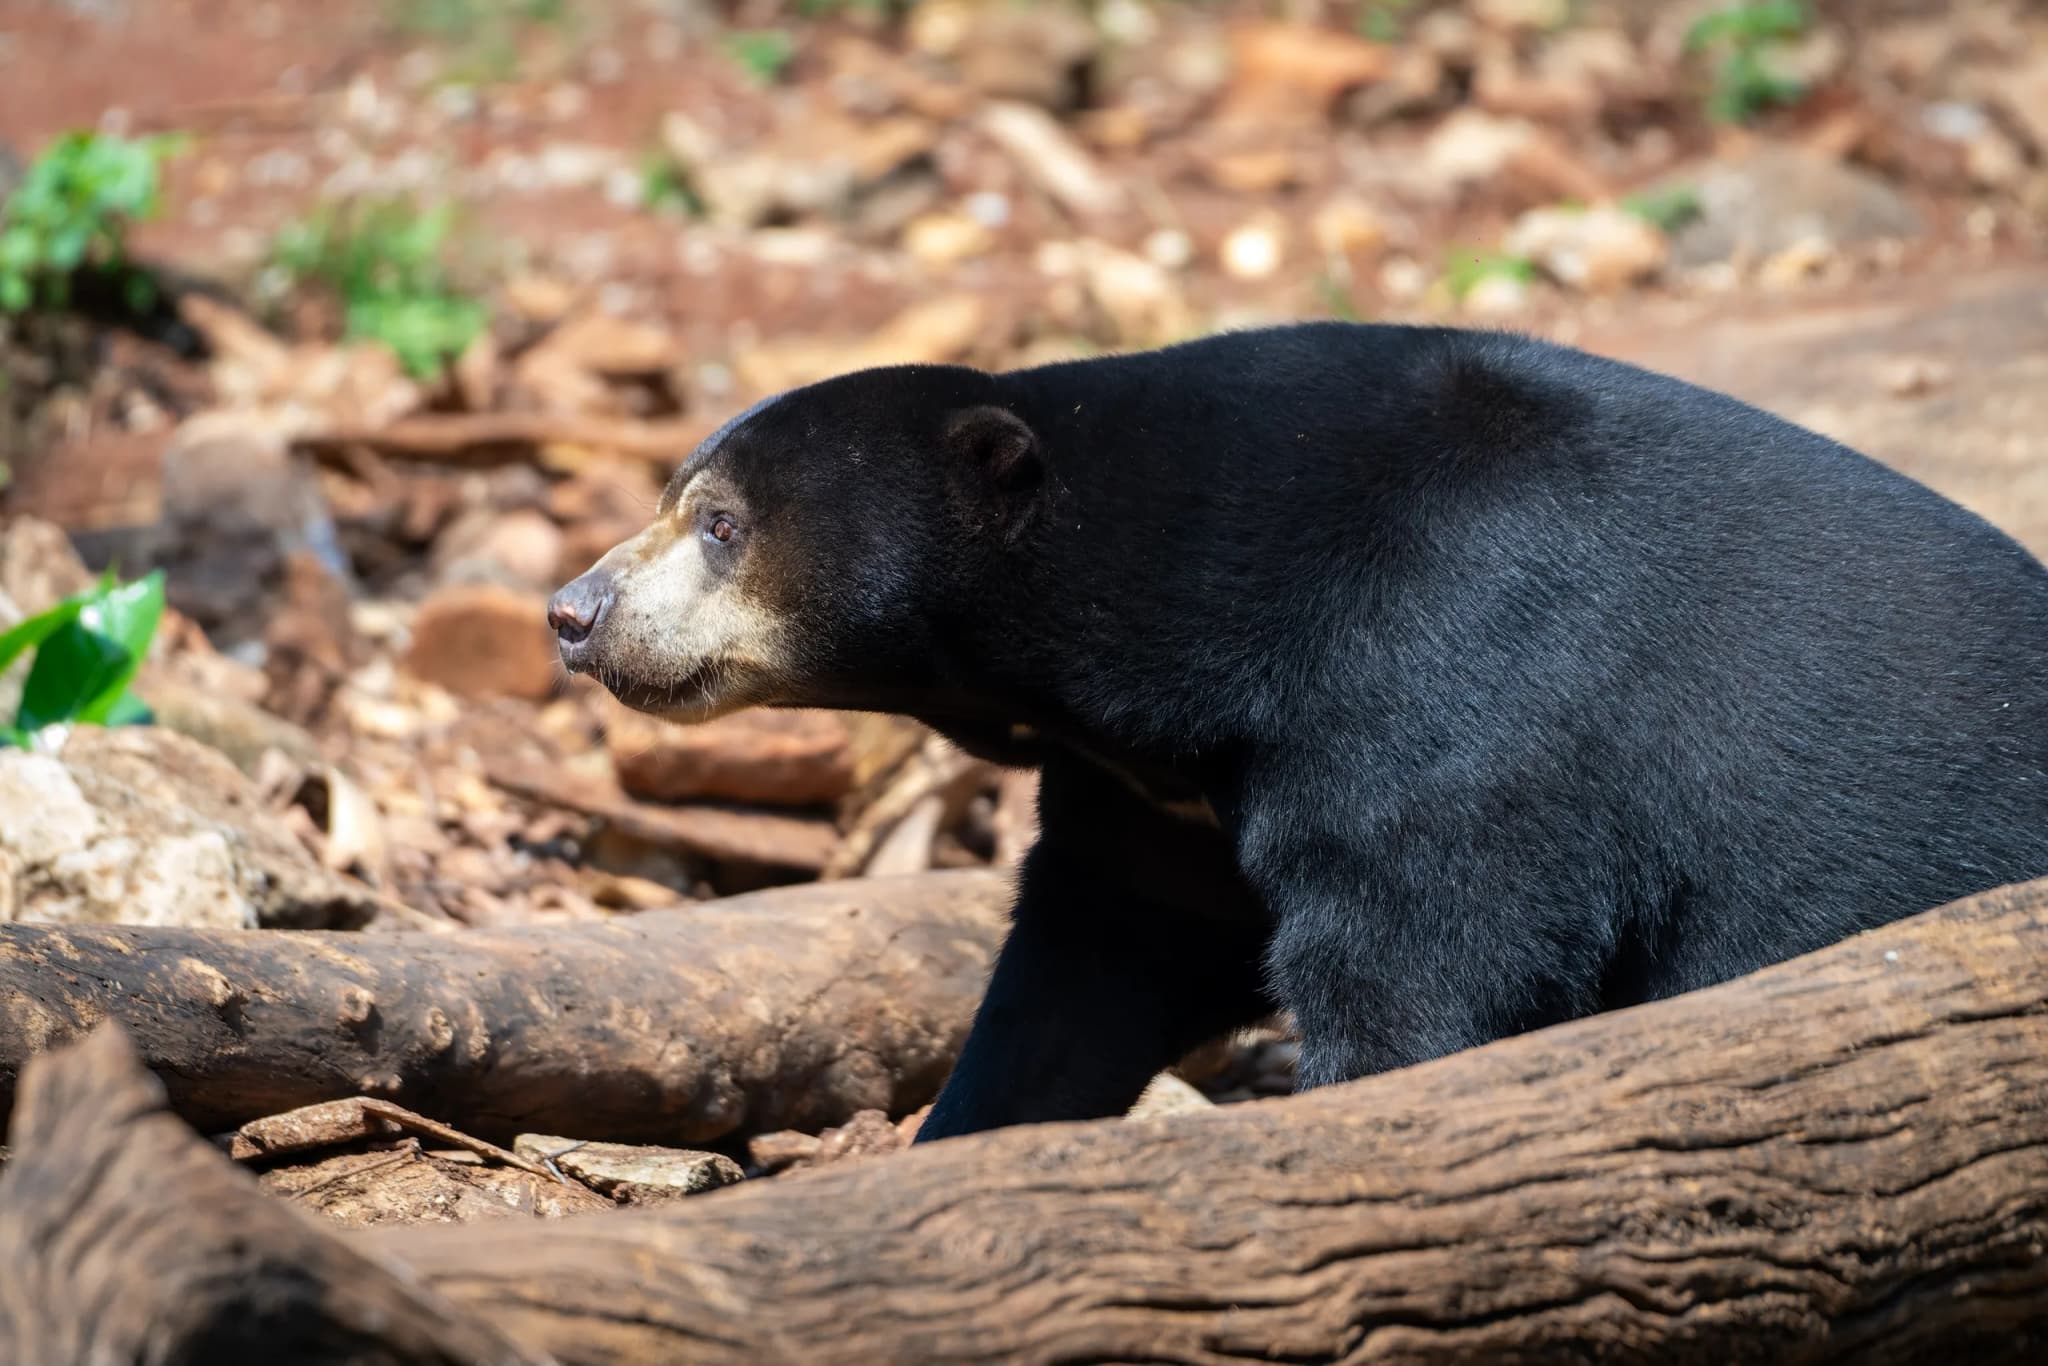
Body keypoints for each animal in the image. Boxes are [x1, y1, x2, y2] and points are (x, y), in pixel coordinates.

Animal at [547, 322, 2048, 1144]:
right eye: (681, 499)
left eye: (721, 524)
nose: (572, 610)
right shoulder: (1157, 799)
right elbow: (1092, 962)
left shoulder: (1462, 689)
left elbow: (1425, 958)